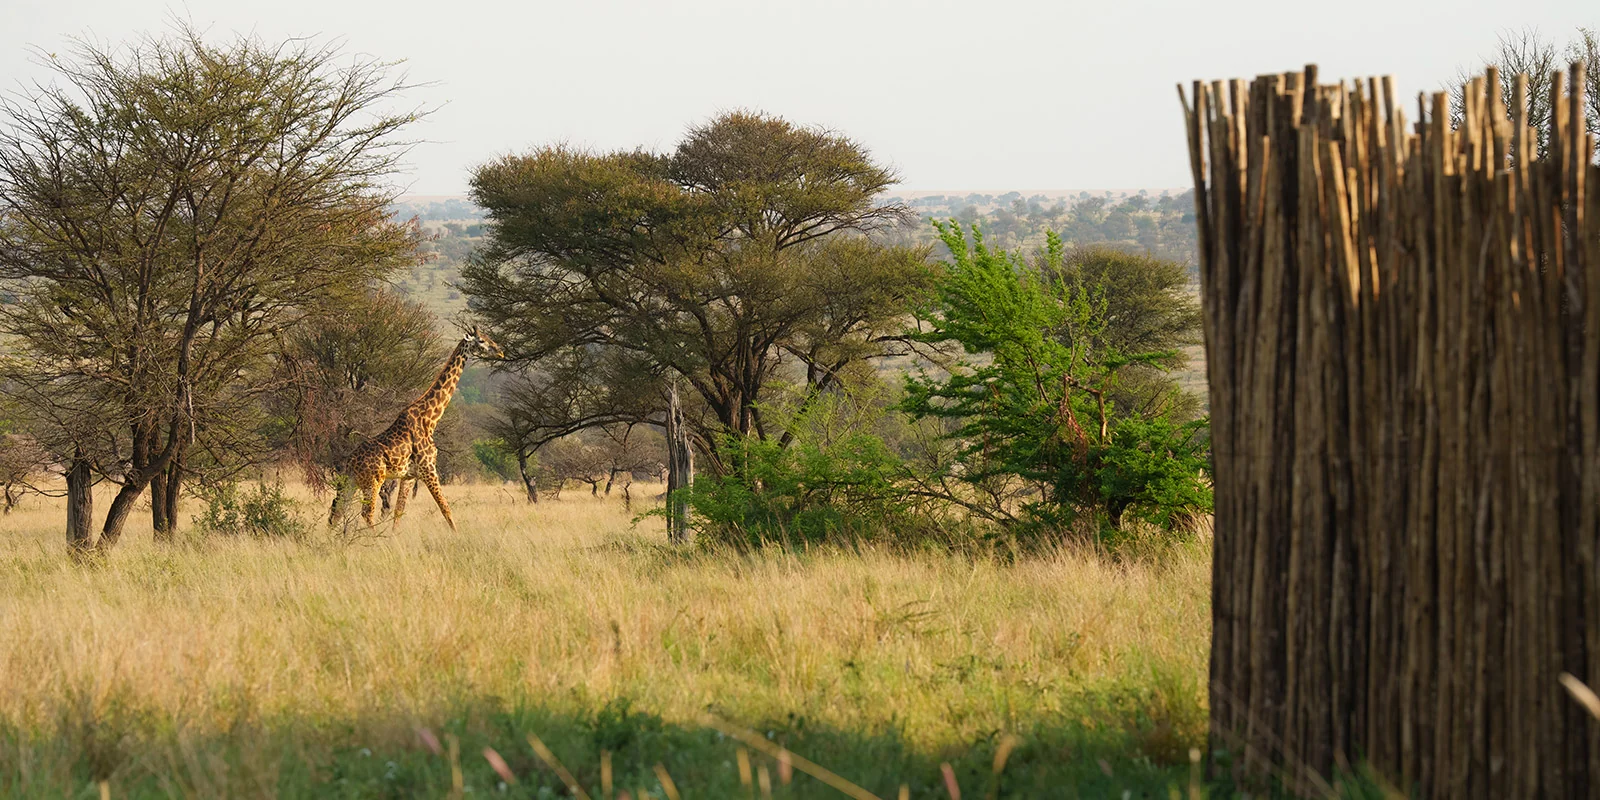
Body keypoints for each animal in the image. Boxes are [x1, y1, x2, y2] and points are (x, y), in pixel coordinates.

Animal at [329, 326, 505, 530]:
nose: (500, 351)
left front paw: (394, 536)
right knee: (366, 512)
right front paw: (458, 534)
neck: (430, 418)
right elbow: (446, 509)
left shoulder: (409, 476)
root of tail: (350, 462)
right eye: (481, 340)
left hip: (352, 482)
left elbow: (398, 513)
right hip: (373, 480)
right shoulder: (428, 468)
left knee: (337, 512)